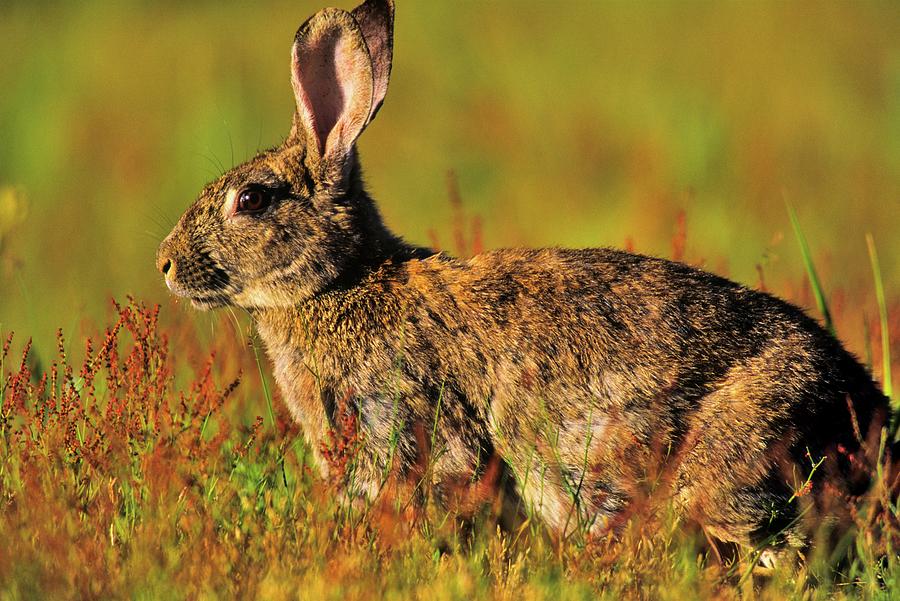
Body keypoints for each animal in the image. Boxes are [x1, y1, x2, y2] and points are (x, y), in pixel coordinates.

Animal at [157, 0, 891, 555]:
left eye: (252, 200)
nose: (164, 263)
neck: (343, 282)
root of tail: (861, 401)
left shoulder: (406, 412)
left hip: (729, 461)